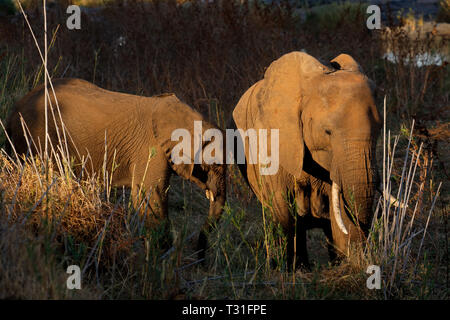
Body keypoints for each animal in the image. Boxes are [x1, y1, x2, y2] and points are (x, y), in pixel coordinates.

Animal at [5, 79, 227, 262]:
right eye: (215, 165)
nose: (201, 261)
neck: (188, 115)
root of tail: (14, 109)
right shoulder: (150, 151)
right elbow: (151, 198)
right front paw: (160, 257)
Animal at [232, 52, 384, 270]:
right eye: (327, 132)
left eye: (380, 129)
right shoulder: (271, 139)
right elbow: (282, 204)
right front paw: (294, 270)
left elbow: (338, 205)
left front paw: (345, 264)